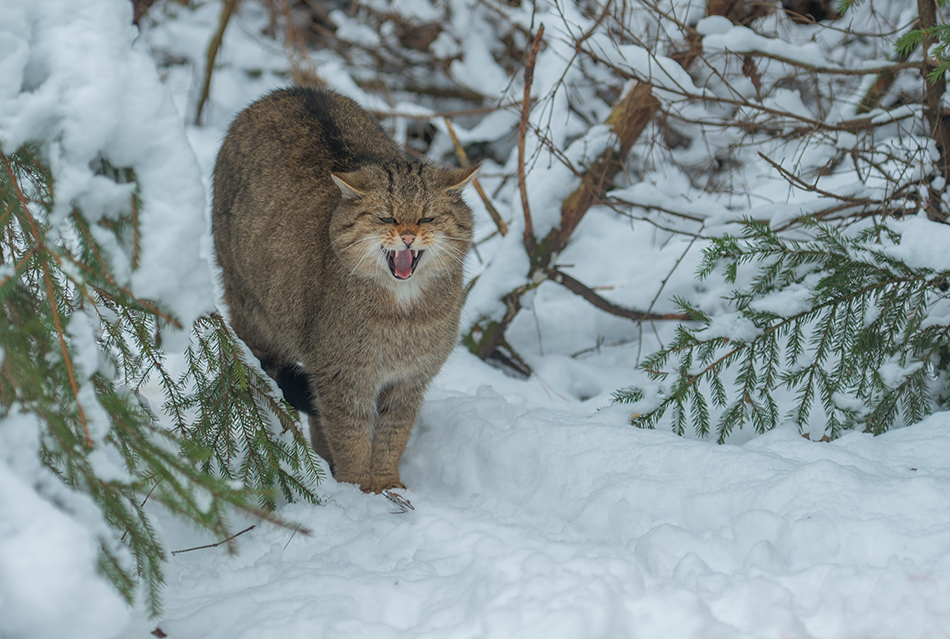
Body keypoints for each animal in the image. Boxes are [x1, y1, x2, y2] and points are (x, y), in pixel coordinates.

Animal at [217, 86, 484, 496]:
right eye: (387, 216)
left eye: (426, 216)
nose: (408, 235)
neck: (403, 315)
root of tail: (292, 90)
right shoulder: (343, 377)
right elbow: (352, 438)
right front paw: (360, 489)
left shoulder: (409, 381)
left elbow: (392, 436)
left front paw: (387, 484)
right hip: (254, 312)